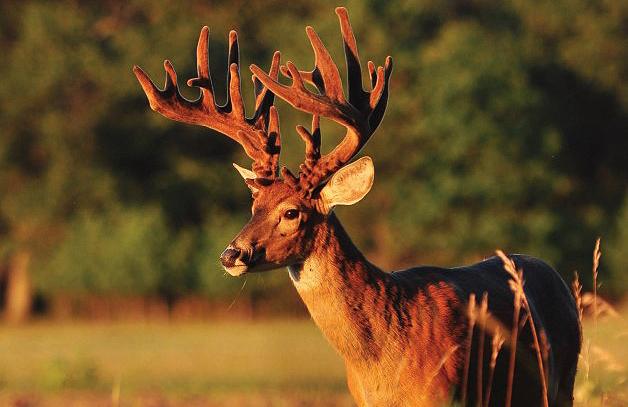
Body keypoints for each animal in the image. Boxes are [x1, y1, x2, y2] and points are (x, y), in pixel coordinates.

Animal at [132, 7, 580, 407]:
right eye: (254, 203)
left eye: (291, 212)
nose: (230, 254)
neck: (383, 360)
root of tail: (551, 271)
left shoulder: (445, 397)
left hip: (564, 383)